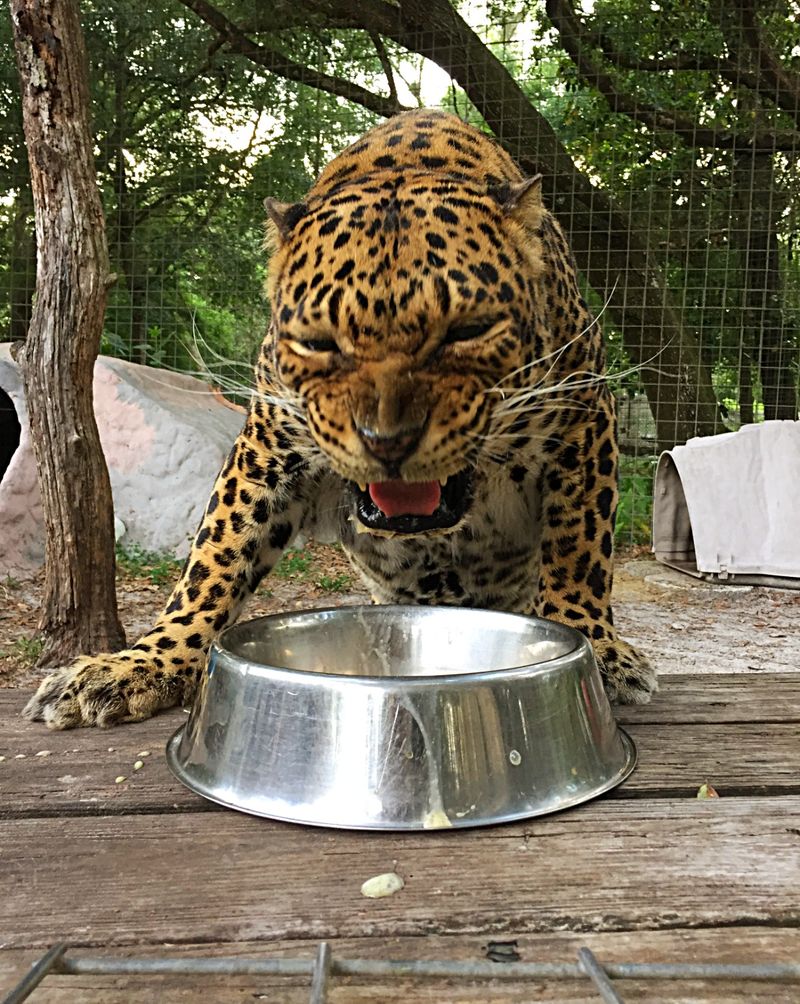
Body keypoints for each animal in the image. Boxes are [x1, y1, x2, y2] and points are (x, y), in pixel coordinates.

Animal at [23, 109, 654, 730]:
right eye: (318, 342)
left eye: (468, 331)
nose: (388, 441)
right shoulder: (267, 449)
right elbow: (214, 560)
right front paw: (141, 663)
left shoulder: (585, 420)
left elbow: (579, 545)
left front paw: (593, 644)